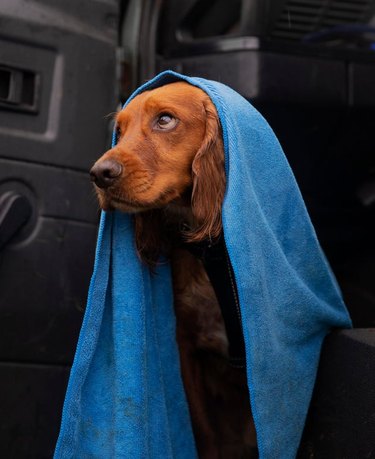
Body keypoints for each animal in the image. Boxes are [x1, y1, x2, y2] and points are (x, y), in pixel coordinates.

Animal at [89, 82, 258, 459]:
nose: (99, 174)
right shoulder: (186, 350)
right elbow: (206, 433)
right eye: (119, 130)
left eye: (165, 120)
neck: (215, 257)